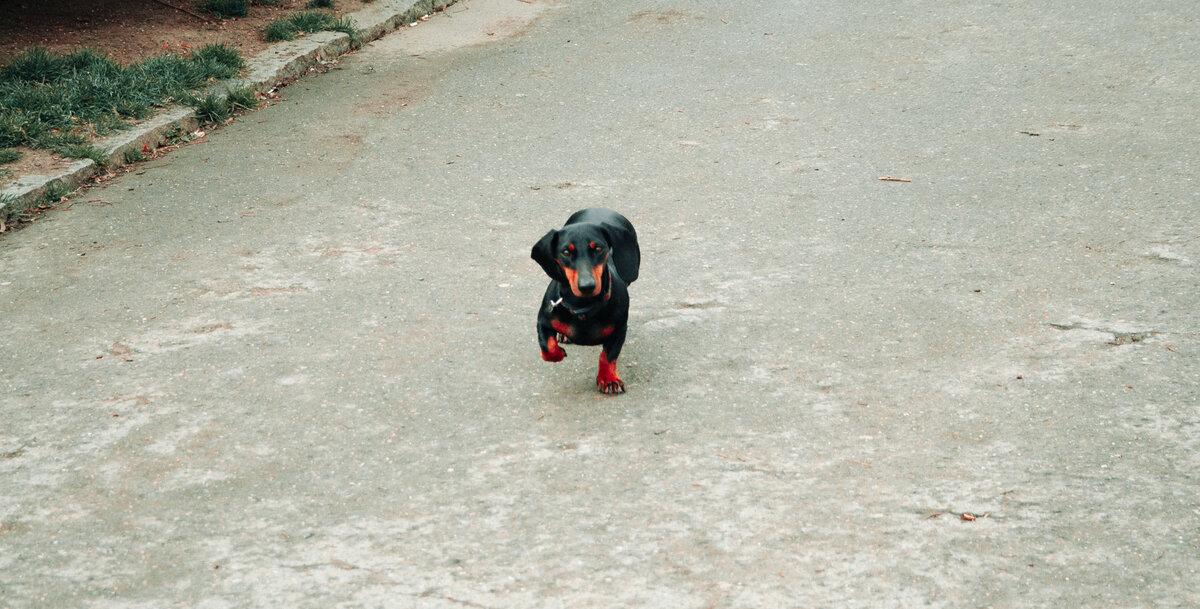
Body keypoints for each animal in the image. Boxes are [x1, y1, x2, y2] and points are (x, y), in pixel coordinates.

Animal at [535, 207, 643, 393]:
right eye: (566, 252)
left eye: (598, 248)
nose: (587, 286)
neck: (584, 308)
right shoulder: (543, 320)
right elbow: (547, 348)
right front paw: (558, 353)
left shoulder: (620, 330)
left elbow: (607, 356)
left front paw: (609, 379)